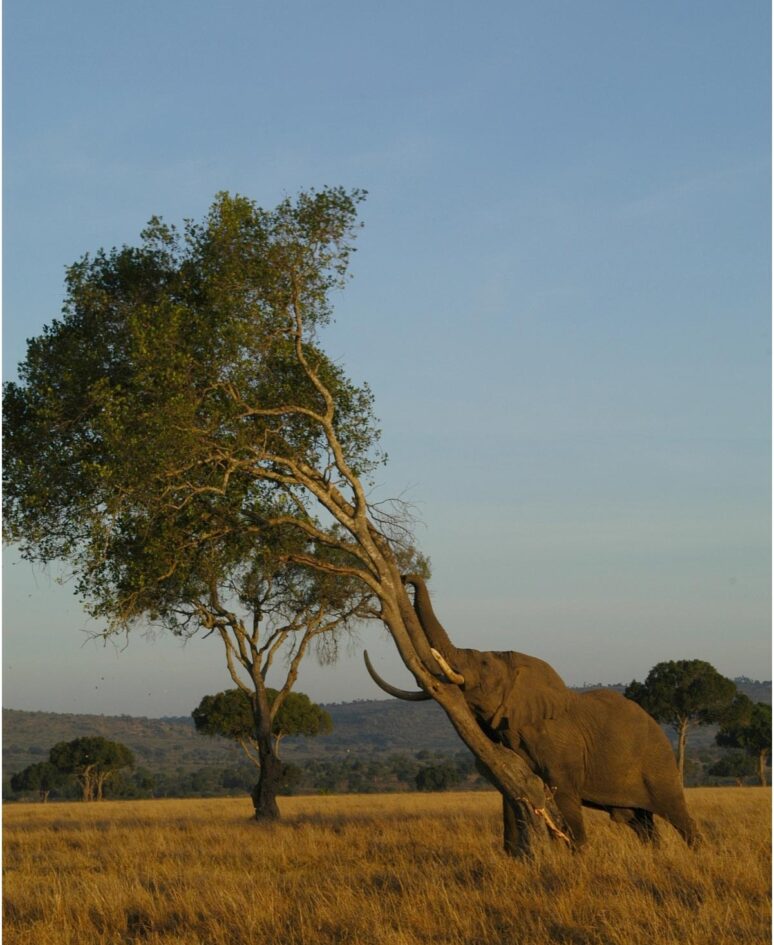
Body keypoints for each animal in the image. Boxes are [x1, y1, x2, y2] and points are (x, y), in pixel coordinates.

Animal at [366, 572, 700, 852]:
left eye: (483, 664)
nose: (407, 576)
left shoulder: (561, 747)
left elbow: (563, 794)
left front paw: (578, 855)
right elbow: (512, 795)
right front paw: (515, 856)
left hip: (658, 763)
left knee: (677, 814)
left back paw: (693, 853)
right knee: (640, 822)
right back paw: (656, 856)